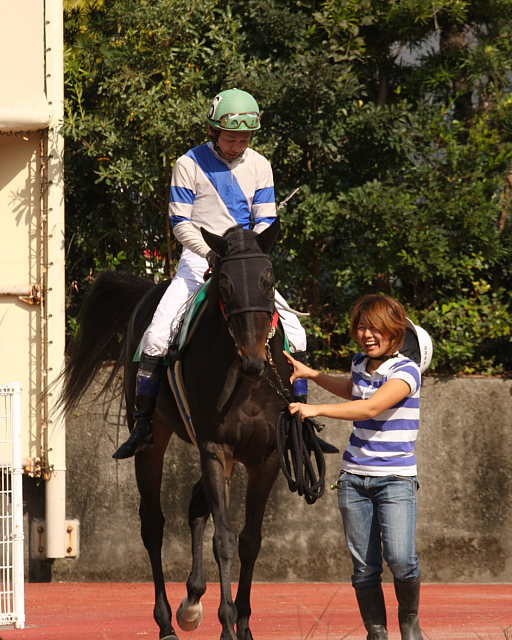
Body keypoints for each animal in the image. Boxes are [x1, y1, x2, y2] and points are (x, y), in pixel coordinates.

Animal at [62, 221, 298, 640]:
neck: (247, 380)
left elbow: (250, 540)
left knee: (195, 505)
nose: (255, 359)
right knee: (153, 524)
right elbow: (224, 538)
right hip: (153, 441)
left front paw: (243, 624)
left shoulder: (265, 458)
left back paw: (193, 600)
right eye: (225, 284)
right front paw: (227, 624)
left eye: (269, 279)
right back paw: (168, 621)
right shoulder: (215, 449)